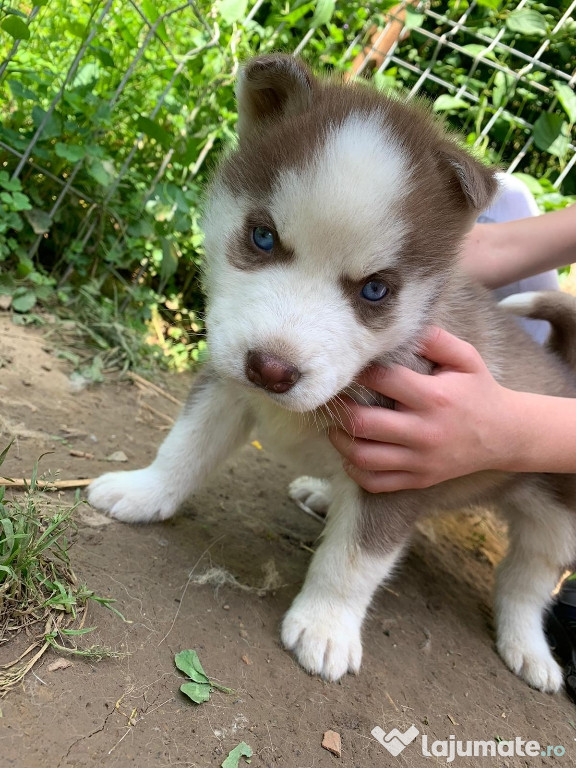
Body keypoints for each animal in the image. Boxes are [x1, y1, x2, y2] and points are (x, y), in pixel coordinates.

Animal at [88, 52, 576, 688]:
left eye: (376, 290)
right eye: (262, 236)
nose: (271, 370)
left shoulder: (406, 459)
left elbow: (352, 560)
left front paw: (325, 628)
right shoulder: (225, 383)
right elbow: (184, 447)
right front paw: (144, 492)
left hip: (557, 518)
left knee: (526, 583)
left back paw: (529, 649)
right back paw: (321, 493)